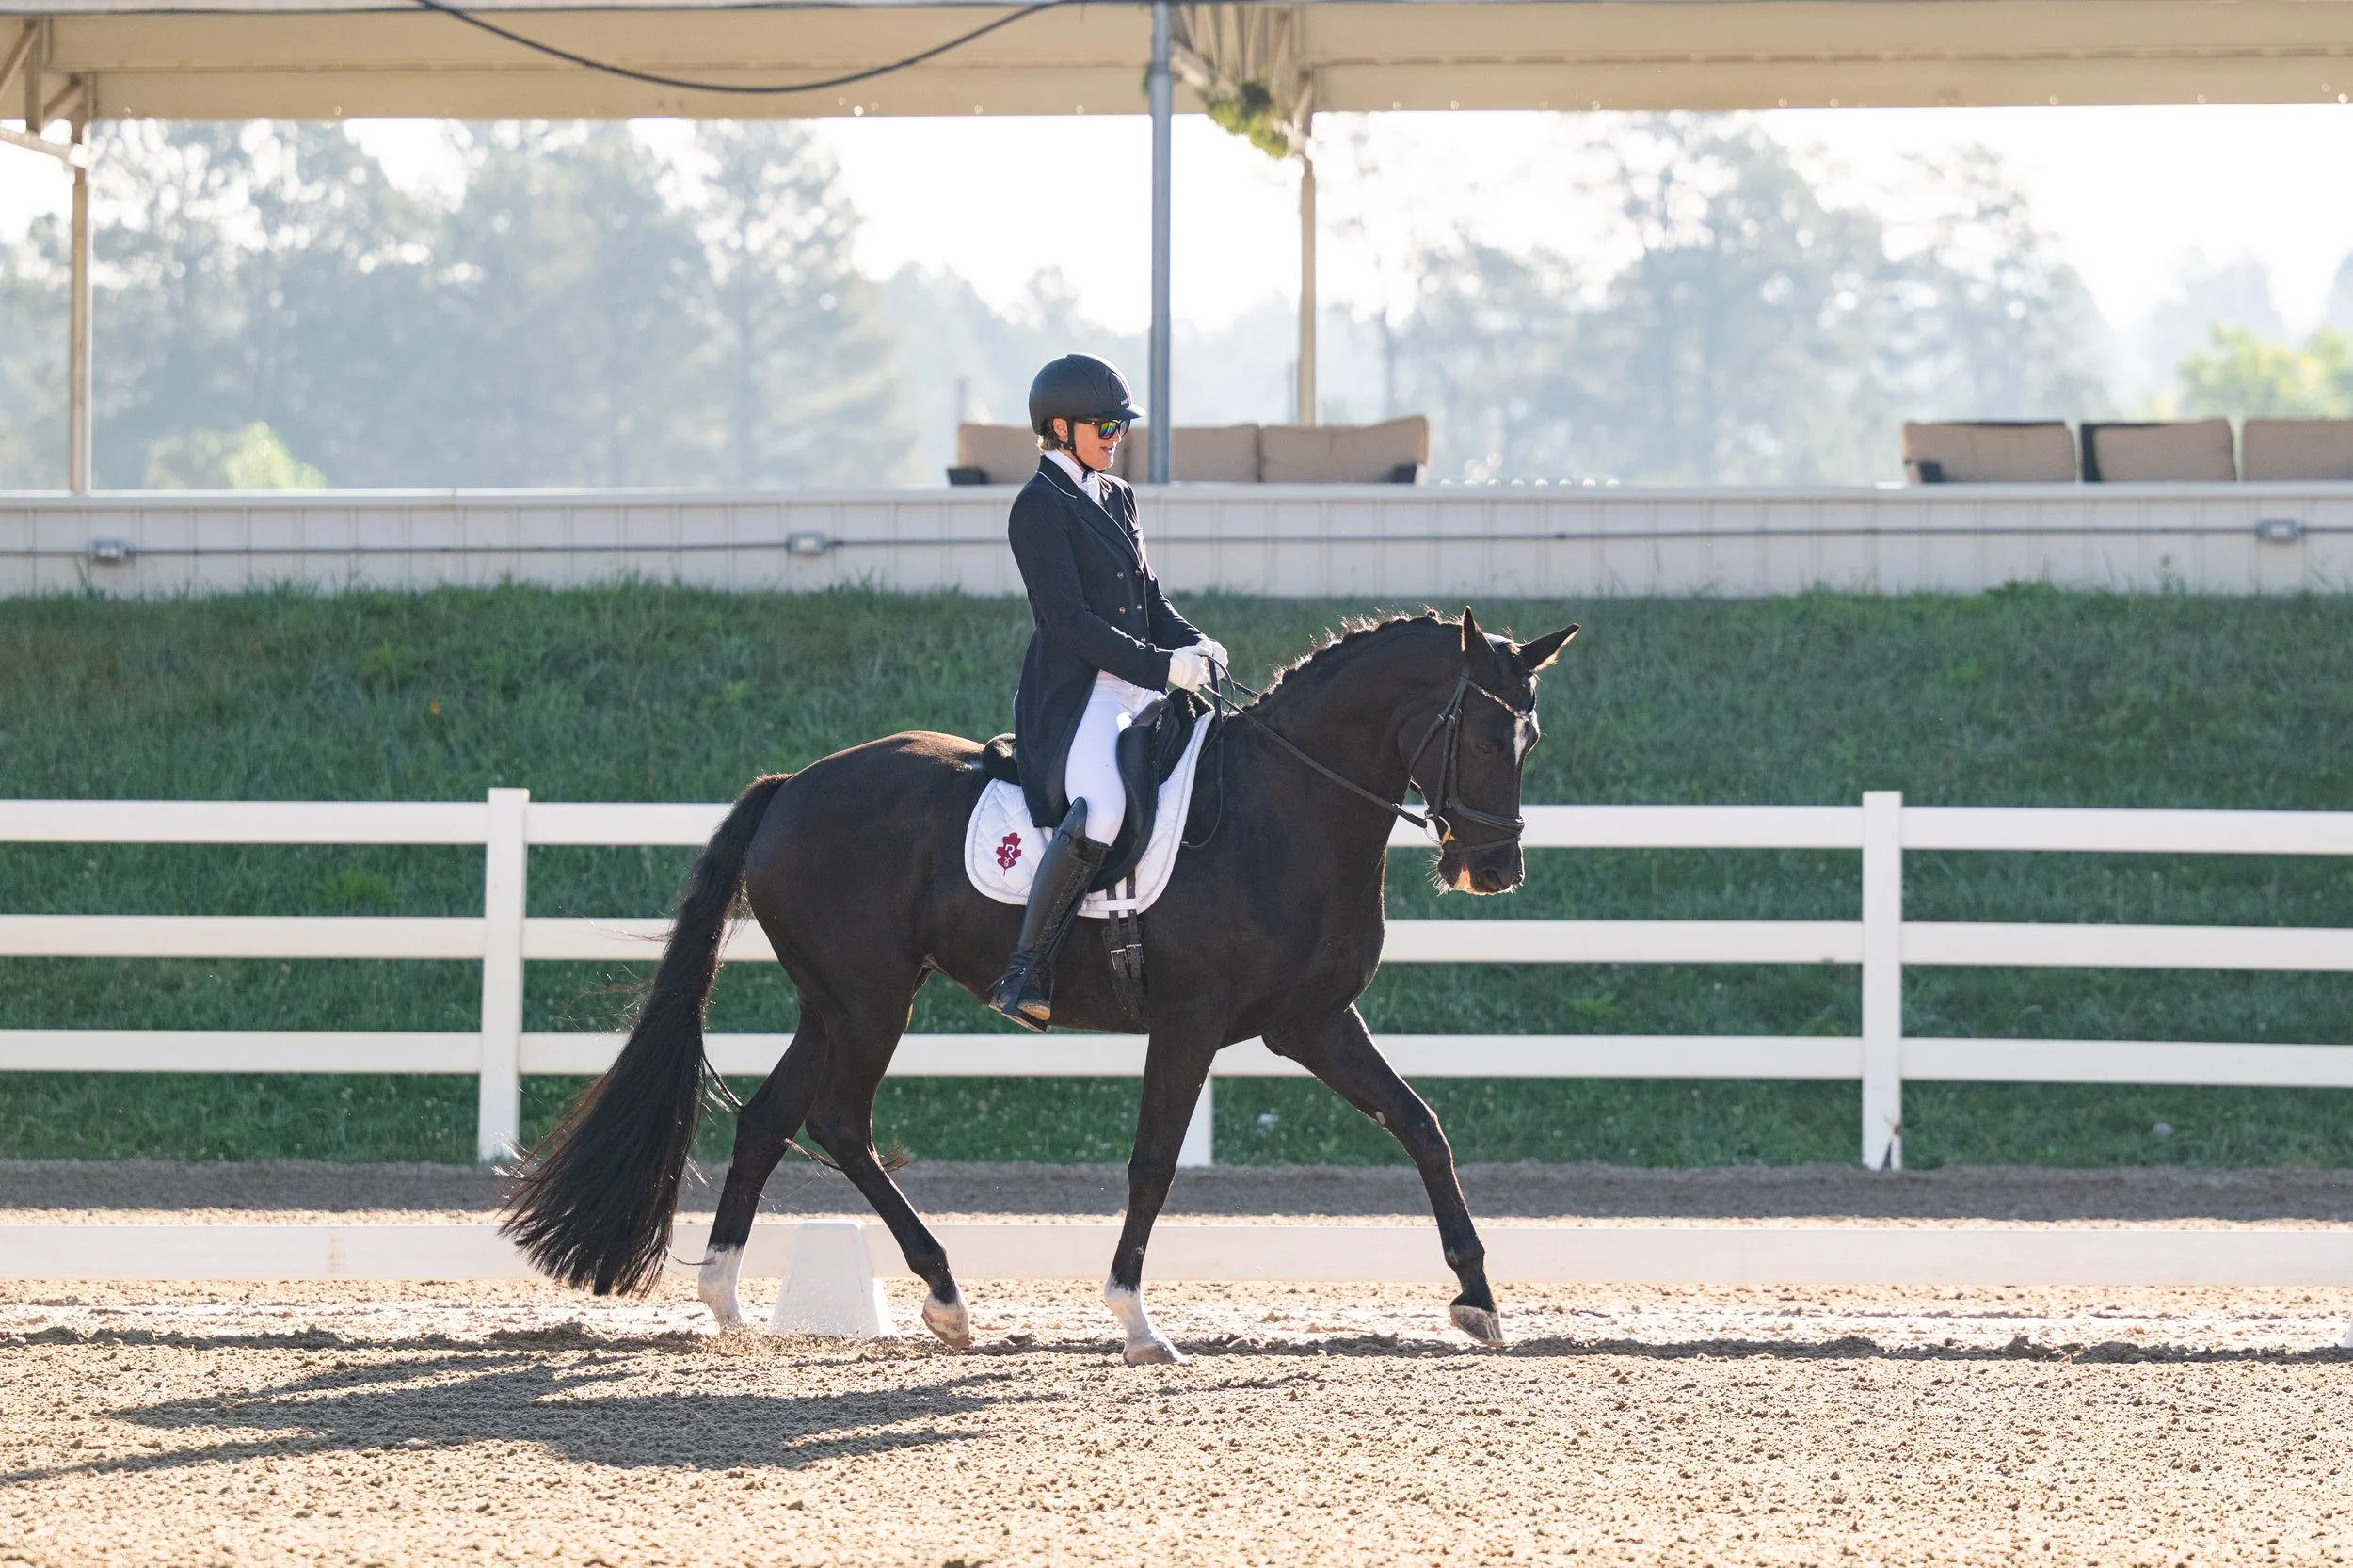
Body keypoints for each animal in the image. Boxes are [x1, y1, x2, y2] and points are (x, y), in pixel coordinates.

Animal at [500, 606, 1579, 1363]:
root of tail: (791, 786)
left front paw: (1478, 1303)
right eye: (1489, 736)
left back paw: (731, 1300)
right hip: (870, 1000)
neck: (1284, 812)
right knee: (839, 1121)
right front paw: (1136, 1321)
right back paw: (940, 1297)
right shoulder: (1191, 1023)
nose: (1494, 870)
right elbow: (1153, 1164)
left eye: (1530, 739)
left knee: (773, 1119)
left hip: (836, 1001)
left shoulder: (1311, 1021)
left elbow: (1421, 1126)